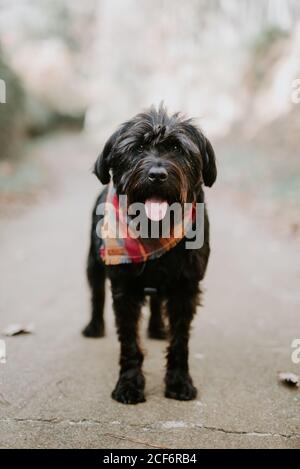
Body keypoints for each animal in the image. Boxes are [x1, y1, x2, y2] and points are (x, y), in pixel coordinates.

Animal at [83, 105, 217, 402]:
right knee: (96, 293)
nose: (157, 174)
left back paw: (157, 328)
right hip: (93, 262)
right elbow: (129, 341)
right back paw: (94, 326)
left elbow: (180, 340)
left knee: (157, 302)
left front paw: (179, 382)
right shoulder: (123, 287)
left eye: (177, 148)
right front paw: (129, 384)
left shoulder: (186, 287)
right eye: (138, 148)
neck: (153, 231)